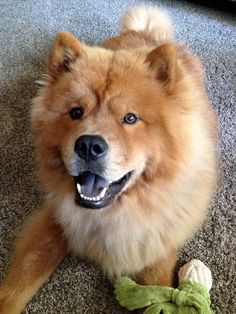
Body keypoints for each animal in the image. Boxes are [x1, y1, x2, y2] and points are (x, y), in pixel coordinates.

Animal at [0, 5, 218, 314]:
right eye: (76, 113)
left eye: (130, 118)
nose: (89, 145)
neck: (111, 215)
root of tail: (145, 32)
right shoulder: (54, 220)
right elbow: (20, 283)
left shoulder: (158, 238)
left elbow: (158, 285)